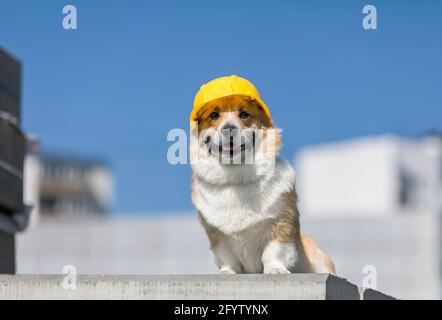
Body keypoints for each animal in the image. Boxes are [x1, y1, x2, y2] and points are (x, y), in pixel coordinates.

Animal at [188, 75, 334, 276]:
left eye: (244, 114)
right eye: (214, 115)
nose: (229, 128)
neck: (236, 175)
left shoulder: (282, 222)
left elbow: (273, 251)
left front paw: (275, 269)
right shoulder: (216, 235)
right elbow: (227, 257)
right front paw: (227, 272)